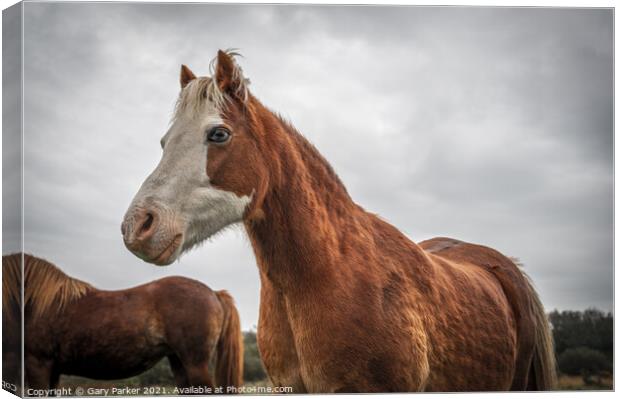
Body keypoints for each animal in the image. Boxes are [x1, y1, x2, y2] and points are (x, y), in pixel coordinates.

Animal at [3, 255, 245, 396]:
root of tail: (213, 292)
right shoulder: (53, 369)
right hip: (179, 362)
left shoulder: (38, 364)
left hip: (196, 363)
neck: (39, 303)